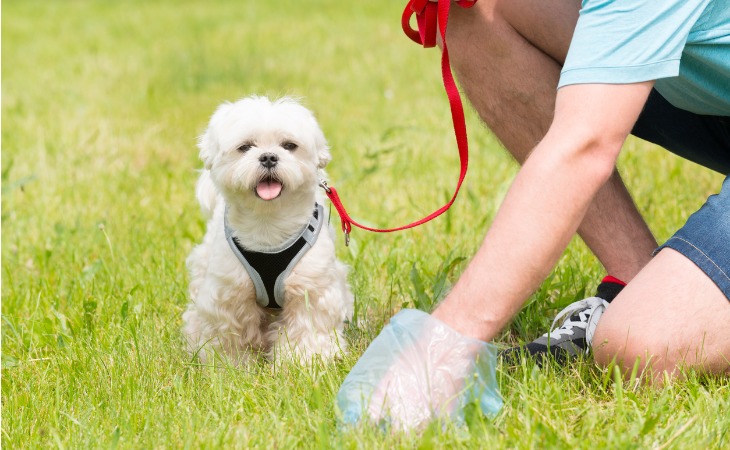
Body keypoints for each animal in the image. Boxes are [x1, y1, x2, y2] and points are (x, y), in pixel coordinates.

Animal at [182, 95, 352, 366]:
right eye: (245, 147)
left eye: (289, 146)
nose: (269, 157)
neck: (268, 224)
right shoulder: (229, 293)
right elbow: (229, 333)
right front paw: (231, 365)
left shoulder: (310, 288)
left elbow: (307, 327)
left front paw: (303, 362)